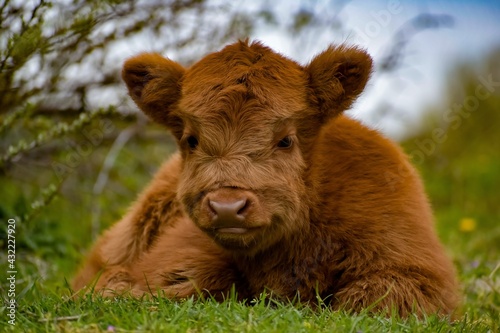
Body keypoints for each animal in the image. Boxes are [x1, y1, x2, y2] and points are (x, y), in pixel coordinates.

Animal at [72, 40, 458, 316]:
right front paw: (118, 289)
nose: (227, 206)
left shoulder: (415, 272)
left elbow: (371, 298)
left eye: (286, 140)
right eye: (191, 140)